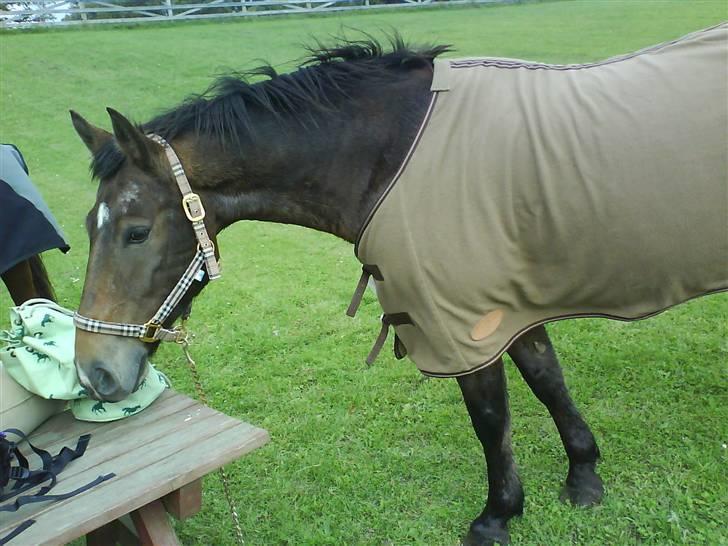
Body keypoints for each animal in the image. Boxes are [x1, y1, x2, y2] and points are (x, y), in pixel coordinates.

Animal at [69, 29, 728, 544]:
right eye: (86, 227)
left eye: (134, 231)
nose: (96, 372)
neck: (397, 154)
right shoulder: (511, 306)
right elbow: (547, 381)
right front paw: (584, 477)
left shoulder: (463, 320)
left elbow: (491, 417)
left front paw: (497, 516)